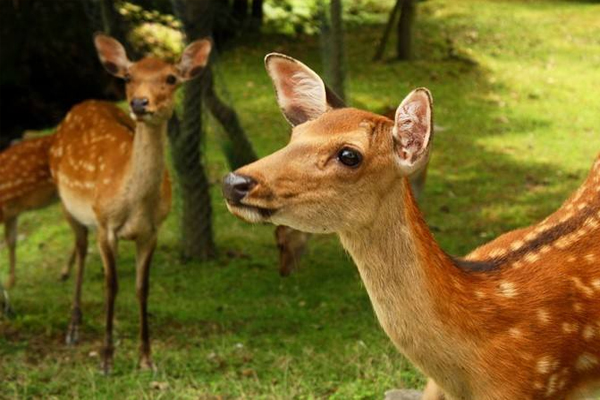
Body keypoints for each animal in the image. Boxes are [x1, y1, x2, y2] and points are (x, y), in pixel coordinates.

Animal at [49, 34, 213, 376]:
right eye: (128, 77)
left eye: (171, 78)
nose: (139, 103)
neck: (134, 204)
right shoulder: (105, 225)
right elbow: (112, 287)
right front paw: (106, 360)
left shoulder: (152, 231)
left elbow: (142, 287)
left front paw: (146, 358)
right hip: (67, 204)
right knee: (81, 251)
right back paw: (73, 328)